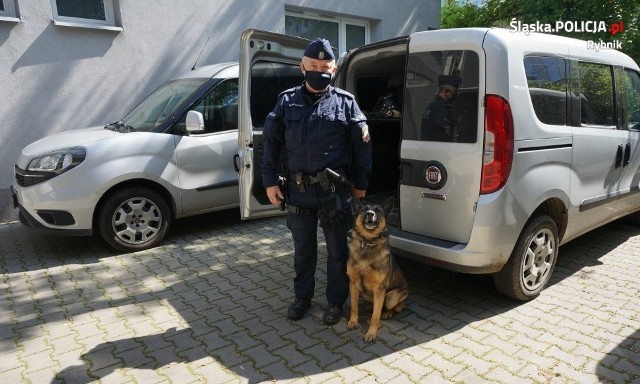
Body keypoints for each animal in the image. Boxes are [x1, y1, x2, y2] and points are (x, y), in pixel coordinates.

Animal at [348, 198, 408, 342]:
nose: (370, 214)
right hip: (364, 292)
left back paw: (388, 313)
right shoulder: (354, 284)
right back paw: (370, 306)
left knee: (393, 307)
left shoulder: (380, 289)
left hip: (392, 296)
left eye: (378, 211)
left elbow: (375, 316)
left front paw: (371, 333)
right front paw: (353, 321)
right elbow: (354, 306)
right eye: (364, 210)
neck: (367, 243)